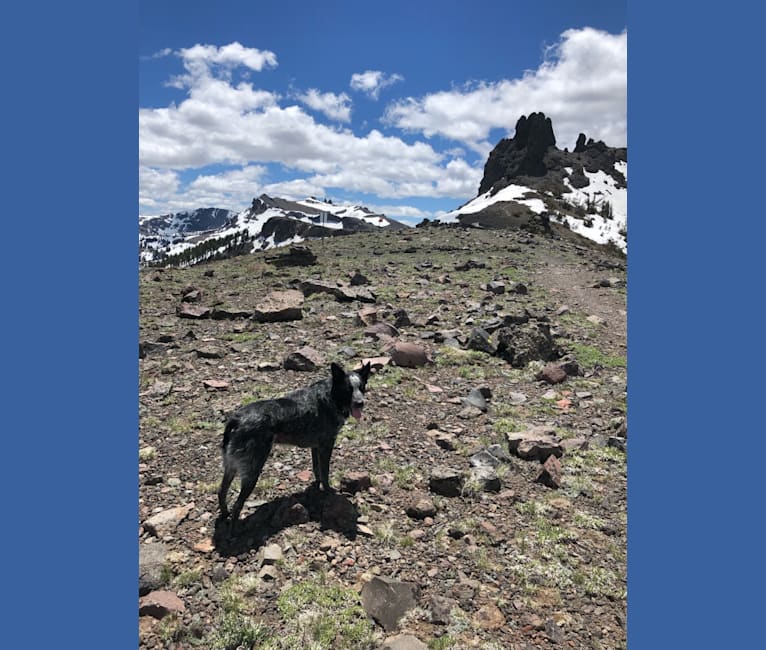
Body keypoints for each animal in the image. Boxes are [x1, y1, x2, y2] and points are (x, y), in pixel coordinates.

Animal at [218, 360, 374, 520]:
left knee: (221, 492)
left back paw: (224, 514)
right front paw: (327, 490)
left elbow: (317, 470)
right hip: (252, 470)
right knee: (237, 505)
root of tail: (237, 419)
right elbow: (324, 472)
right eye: (347, 389)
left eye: (362, 388)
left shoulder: (315, 447)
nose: (360, 403)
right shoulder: (326, 445)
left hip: (230, 467)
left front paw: (316, 489)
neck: (332, 395)